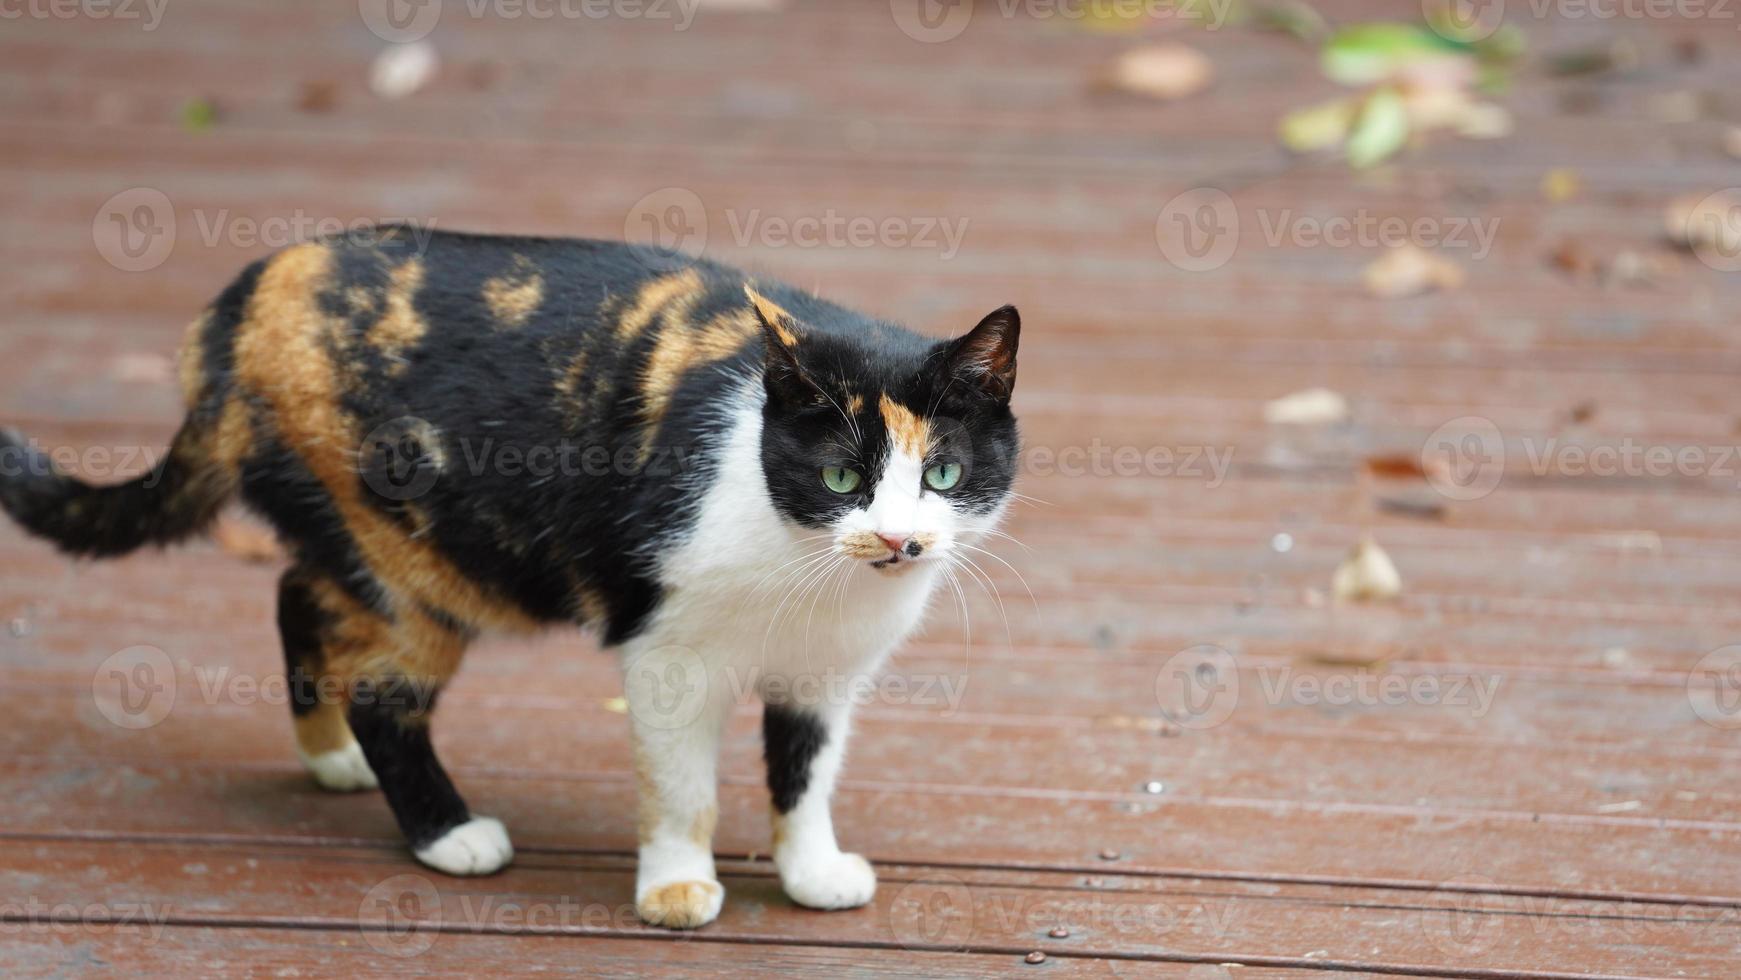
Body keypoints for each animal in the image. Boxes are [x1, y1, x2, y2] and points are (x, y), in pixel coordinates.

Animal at [0, 226, 1016, 933]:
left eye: (943, 475)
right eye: (841, 478)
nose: (897, 539)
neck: (810, 573)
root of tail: (246, 299)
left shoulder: (825, 677)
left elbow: (804, 776)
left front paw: (810, 873)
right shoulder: (668, 656)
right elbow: (682, 788)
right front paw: (677, 888)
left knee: (294, 592)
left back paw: (329, 758)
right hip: (413, 566)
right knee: (380, 690)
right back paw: (446, 831)